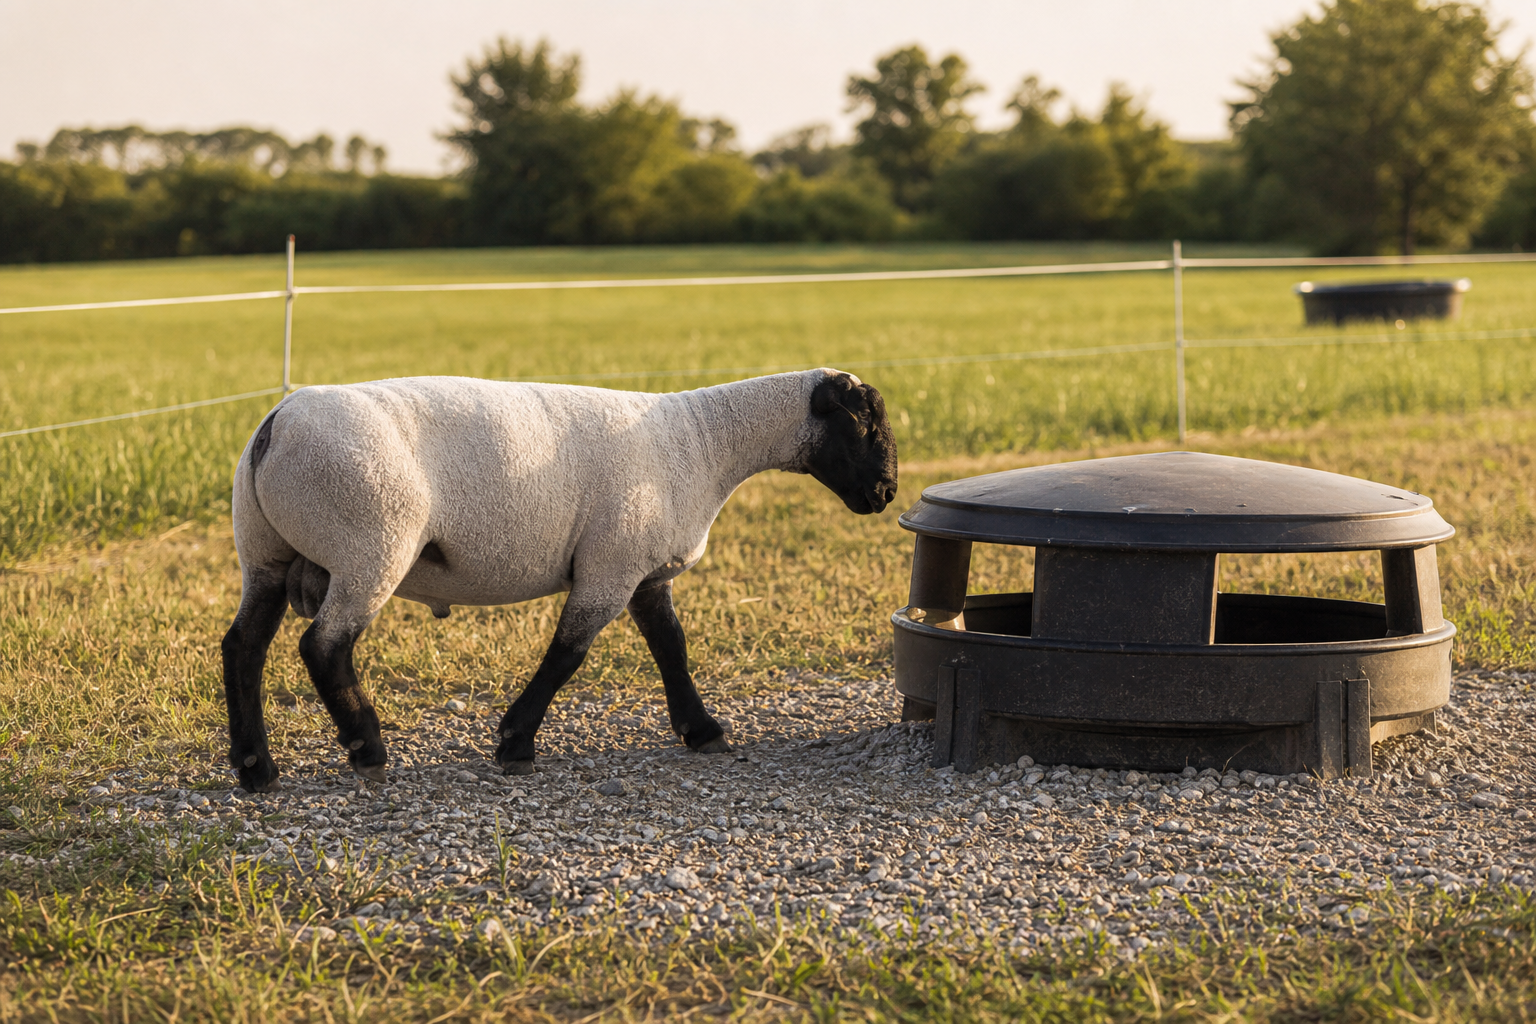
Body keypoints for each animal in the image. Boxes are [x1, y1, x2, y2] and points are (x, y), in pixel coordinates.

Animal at [221, 368, 898, 792]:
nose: (886, 494)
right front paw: (515, 743)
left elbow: (670, 648)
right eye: (865, 426)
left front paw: (702, 731)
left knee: (242, 647)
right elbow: (569, 653)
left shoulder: (643, 570)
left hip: (265, 554)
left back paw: (256, 768)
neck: (707, 442)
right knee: (324, 646)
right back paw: (366, 748)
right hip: (371, 545)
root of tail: (276, 424)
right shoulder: (610, 566)